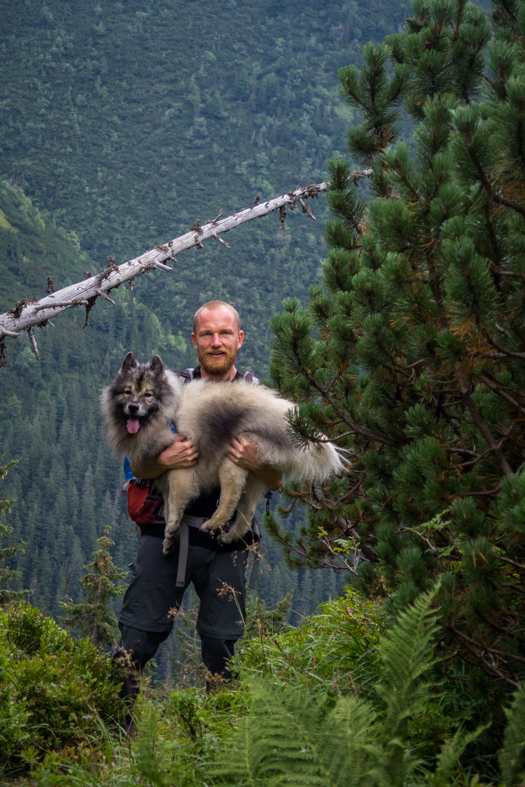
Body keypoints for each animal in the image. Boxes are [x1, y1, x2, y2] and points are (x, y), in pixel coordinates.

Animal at [101, 350, 346, 556]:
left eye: (148, 395)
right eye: (127, 392)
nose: (133, 407)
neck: (168, 415)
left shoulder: (182, 471)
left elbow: (175, 505)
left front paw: (172, 531)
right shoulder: (164, 477)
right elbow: (169, 508)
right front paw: (171, 537)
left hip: (233, 461)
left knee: (230, 499)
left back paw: (212, 524)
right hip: (255, 474)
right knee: (247, 511)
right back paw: (229, 537)